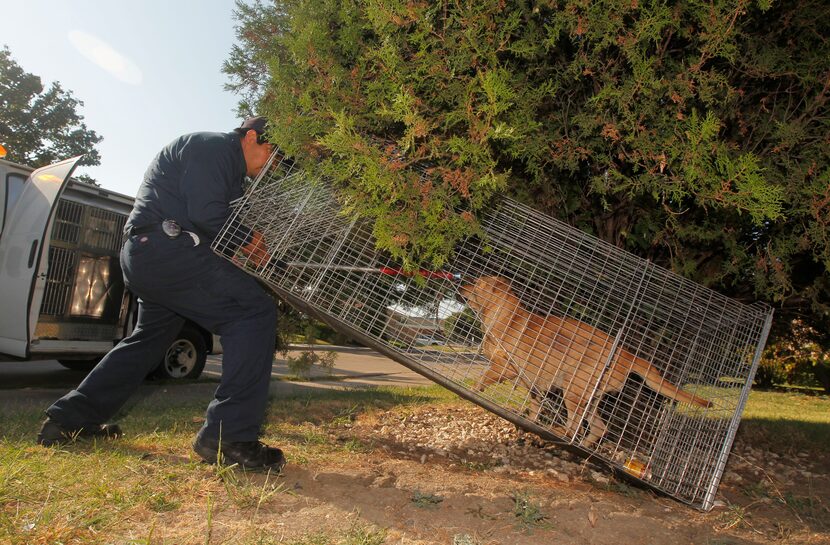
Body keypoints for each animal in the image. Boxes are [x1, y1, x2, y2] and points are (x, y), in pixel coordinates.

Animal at [458, 276, 712, 446]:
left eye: (477, 283)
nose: (461, 286)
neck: (506, 316)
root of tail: (626, 354)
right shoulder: (535, 388)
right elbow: (534, 410)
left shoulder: (507, 367)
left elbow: (484, 377)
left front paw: (473, 388)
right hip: (588, 398)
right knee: (598, 428)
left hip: (573, 390)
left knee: (574, 428)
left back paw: (558, 433)